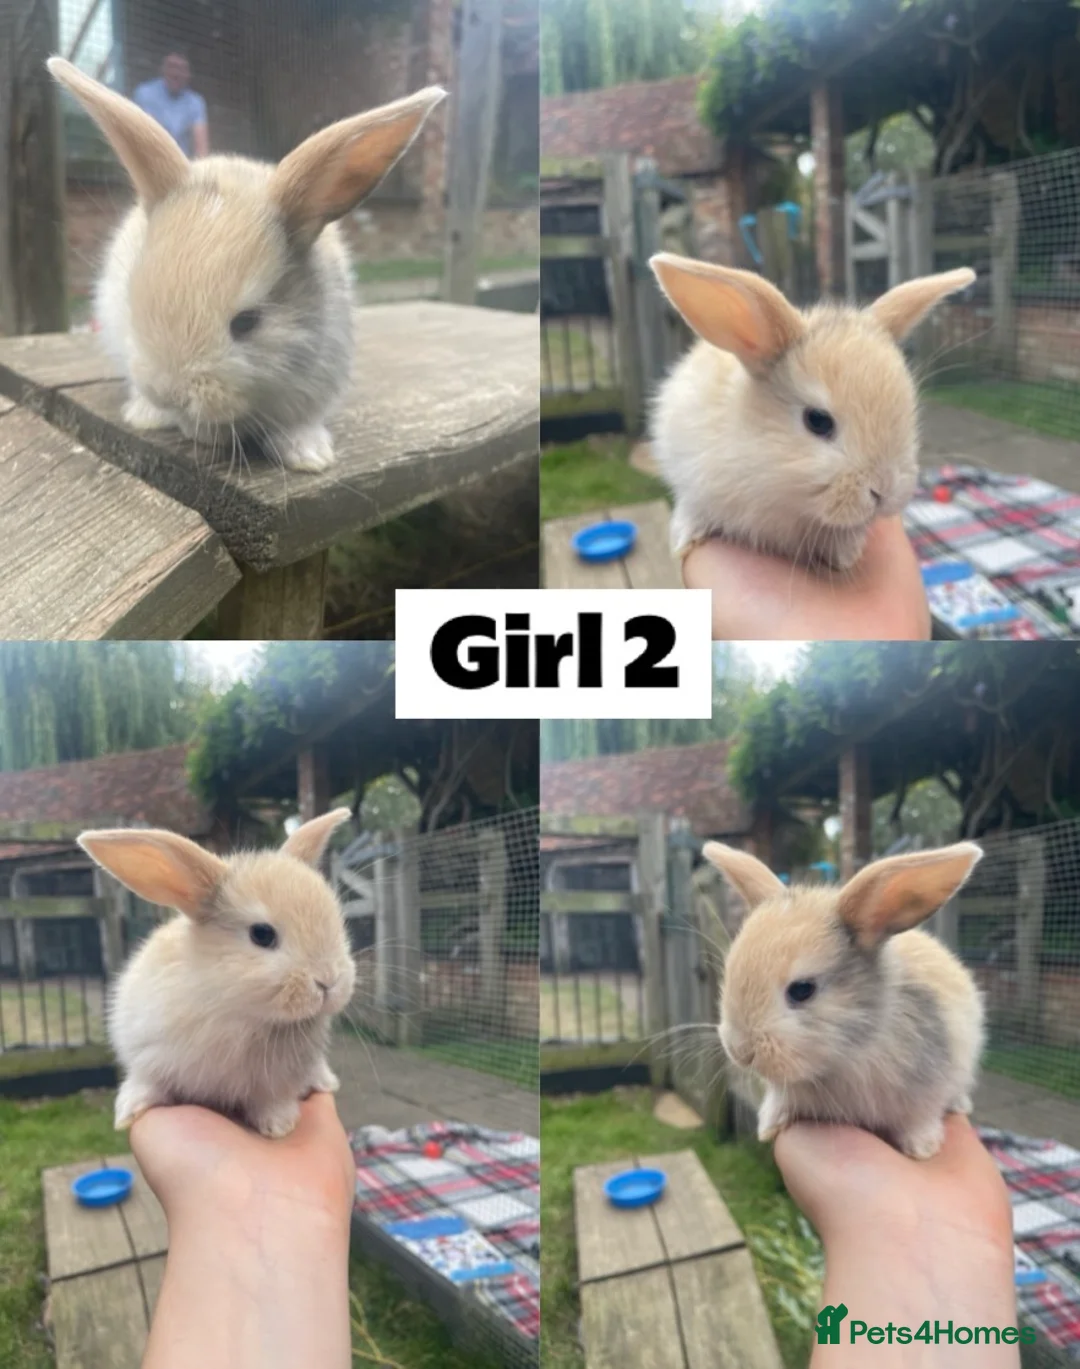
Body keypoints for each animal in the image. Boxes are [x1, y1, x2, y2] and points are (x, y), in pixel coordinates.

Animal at [78, 808, 357, 1138]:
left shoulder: (275, 1084)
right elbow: (146, 1082)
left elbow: (273, 1100)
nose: (328, 981)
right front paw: (128, 1112)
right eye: (262, 934)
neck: (237, 1010)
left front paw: (279, 1126)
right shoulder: (146, 1055)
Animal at [706, 841, 984, 1160]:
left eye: (802, 989)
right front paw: (768, 1127)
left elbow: (920, 1118)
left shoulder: (928, 1091)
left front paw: (922, 1148)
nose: (739, 1051)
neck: (846, 1056)